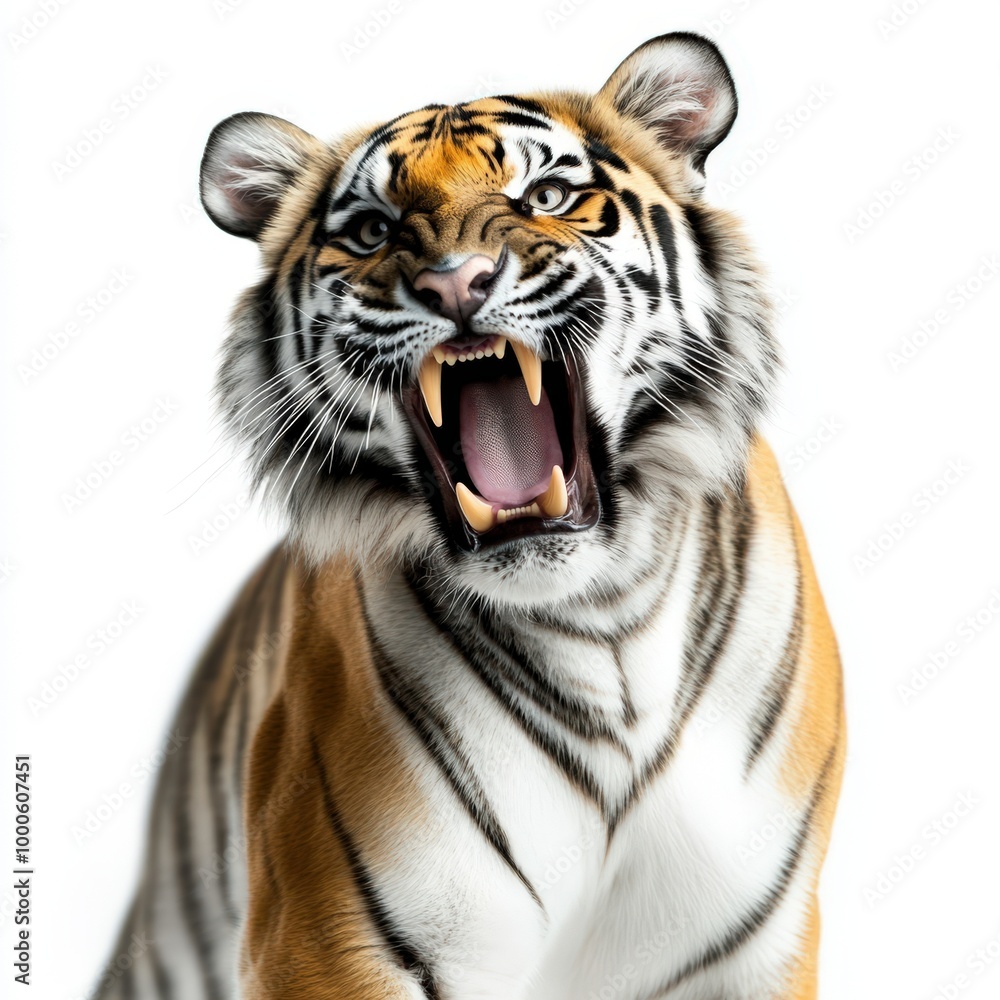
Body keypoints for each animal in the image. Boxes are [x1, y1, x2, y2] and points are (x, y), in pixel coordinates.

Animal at [93, 30, 845, 1000]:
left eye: (548, 196)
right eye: (373, 230)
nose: (455, 286)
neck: (602, 622)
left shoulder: (753, 942)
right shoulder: (328, 934)